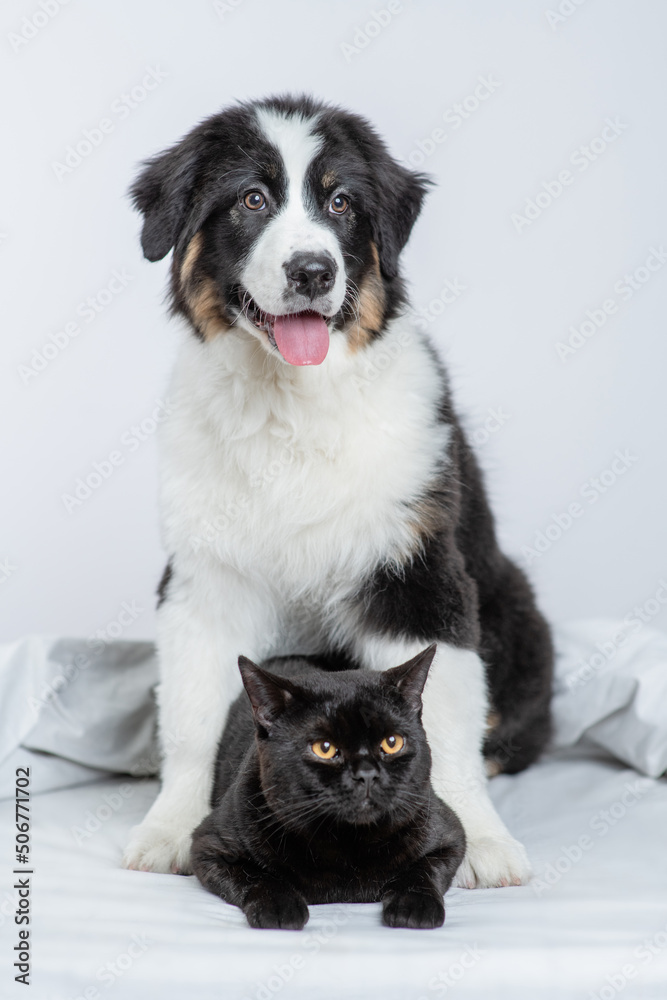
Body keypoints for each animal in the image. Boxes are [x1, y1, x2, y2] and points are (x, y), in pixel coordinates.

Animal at [124, 94, 552, 888]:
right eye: (251, 199)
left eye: (341, 202)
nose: (313, 270)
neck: (293, 405)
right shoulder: (206, 578)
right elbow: (195, 716)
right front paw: (169, 826)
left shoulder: (416, 571)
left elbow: (441, 715)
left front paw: (478, 839)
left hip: (514, 609)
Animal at [190, 644, 468, 932]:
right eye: (324, 748)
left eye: (392, 742)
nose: (366, 774)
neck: (347, 843)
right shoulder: (208, 846)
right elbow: (257, 876)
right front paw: (280, 908)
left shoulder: (451, 837)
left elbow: (423, 871)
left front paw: (414, 907)